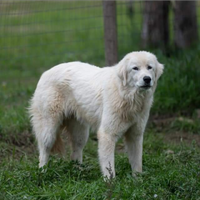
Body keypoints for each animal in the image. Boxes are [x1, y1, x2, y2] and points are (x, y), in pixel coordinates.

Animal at [28, 51, 163, 178]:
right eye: (135, 68)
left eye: (149, 67)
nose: (147, 79)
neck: (127, 95)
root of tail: (45, 72)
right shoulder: (107, 134)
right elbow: (109, 166)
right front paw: (110, 184)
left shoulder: (135, 135)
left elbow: (137, 163)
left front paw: (138, 181)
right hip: (49, 131)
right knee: (44, 151)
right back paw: (43, 172)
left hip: (80, 133)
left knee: (76, 152)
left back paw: (79, 173)